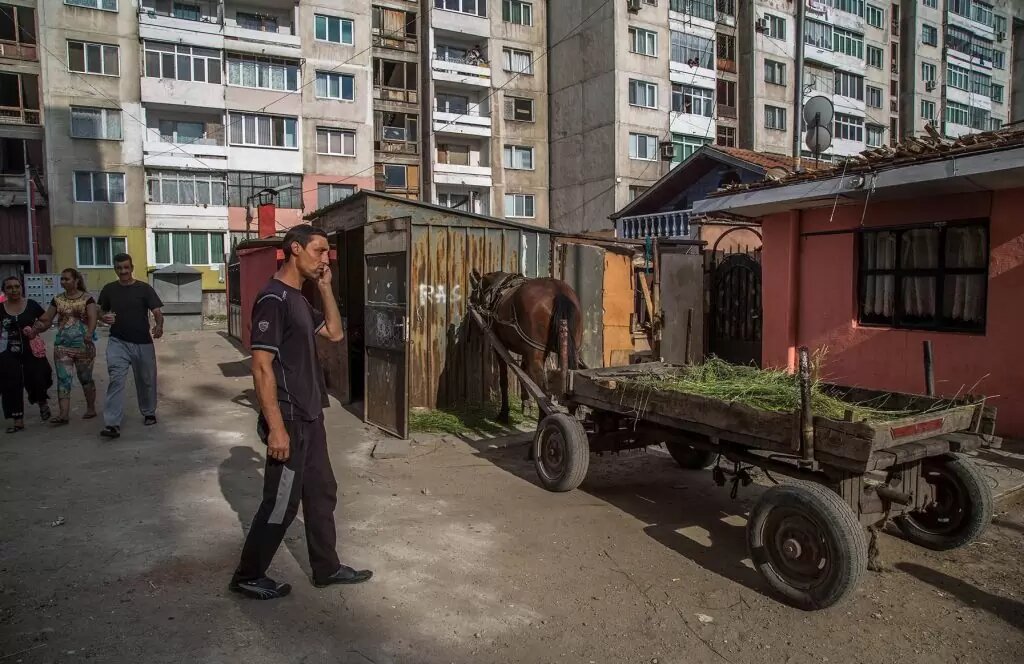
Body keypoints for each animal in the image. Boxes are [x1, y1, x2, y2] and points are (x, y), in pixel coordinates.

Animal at [471, 268, 585, 420]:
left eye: (475, 290)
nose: (471, 302)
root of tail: (558, 291)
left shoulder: (500, 346)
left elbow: (504, 380)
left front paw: (504, 413)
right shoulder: (525, 350)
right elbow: (523, 374)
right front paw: (526, 403)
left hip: (536, 352)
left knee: (544, 393)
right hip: (572, 350)